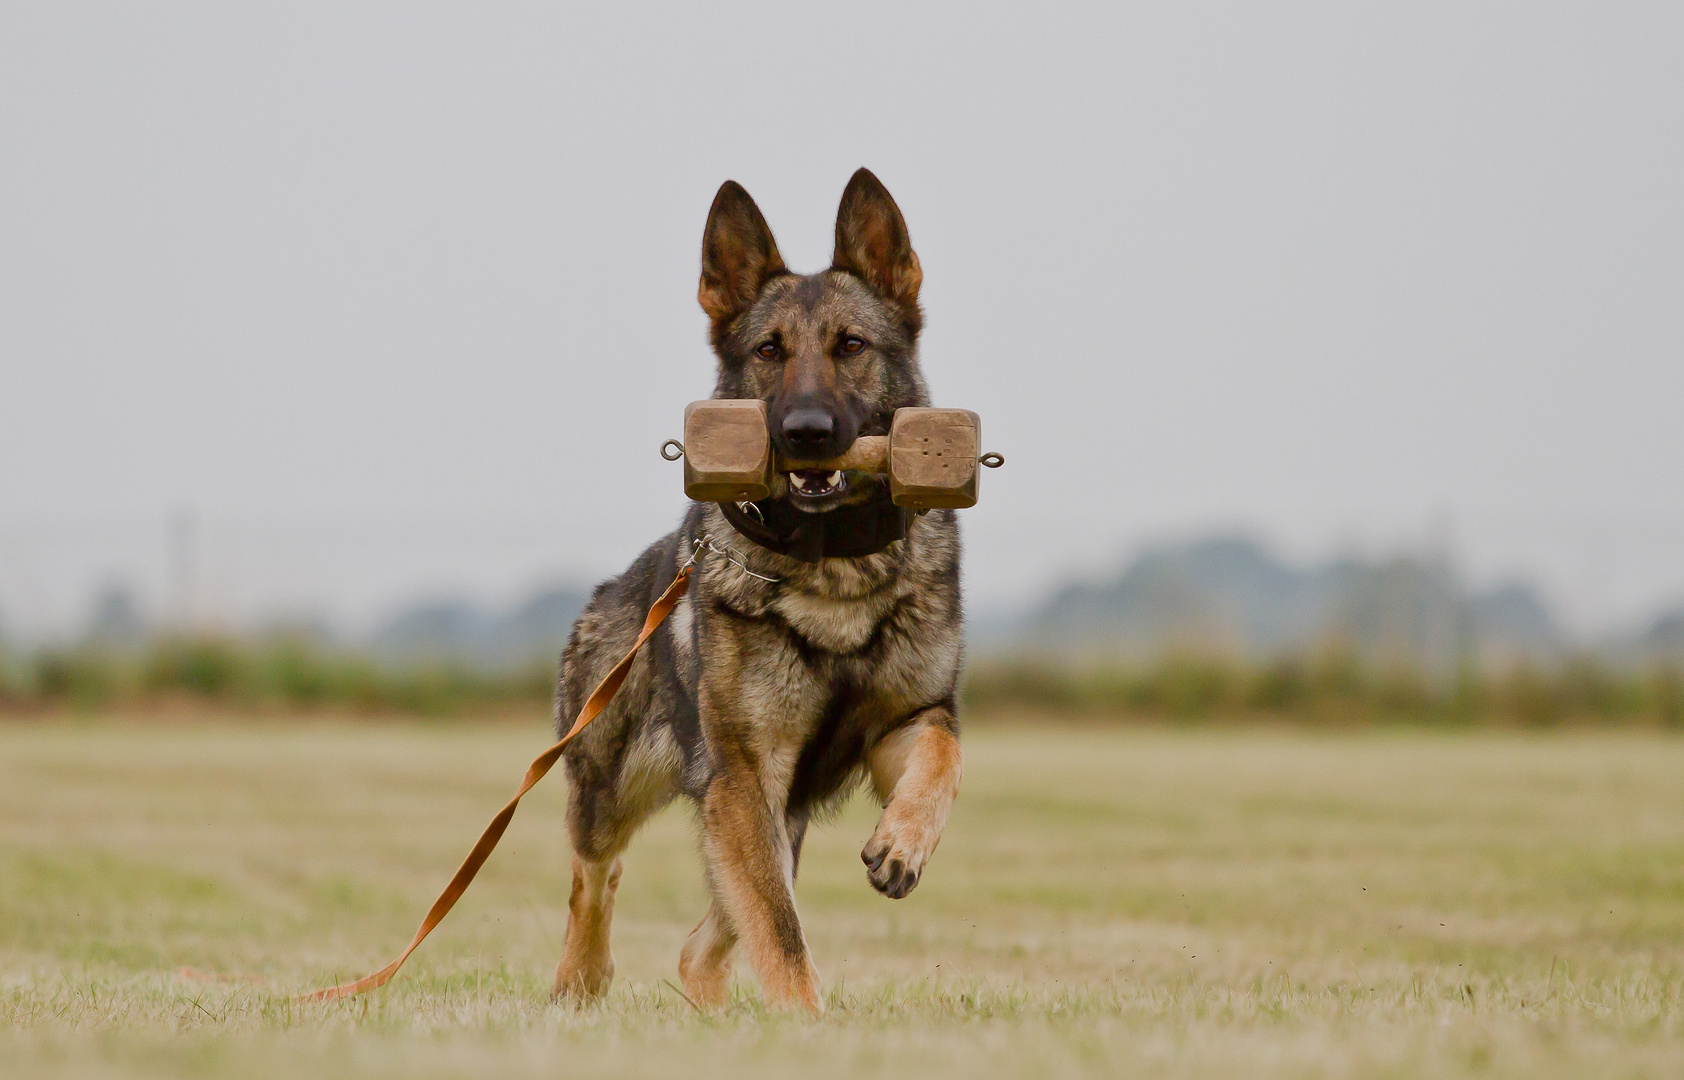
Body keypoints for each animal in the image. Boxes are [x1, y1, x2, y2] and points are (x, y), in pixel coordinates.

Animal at [552, 168, 963, 1010]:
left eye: (851, 346)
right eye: (769, 351)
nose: (805, 432)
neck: (834, 568)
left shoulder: (905, 721)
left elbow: (943, 758)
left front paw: (902, 845)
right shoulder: (745, 775)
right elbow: (781, 932)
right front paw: (810, 1022)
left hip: (772, 817)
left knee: (701, 945)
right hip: (623, 791)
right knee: (595, 876)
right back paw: (581, 980)